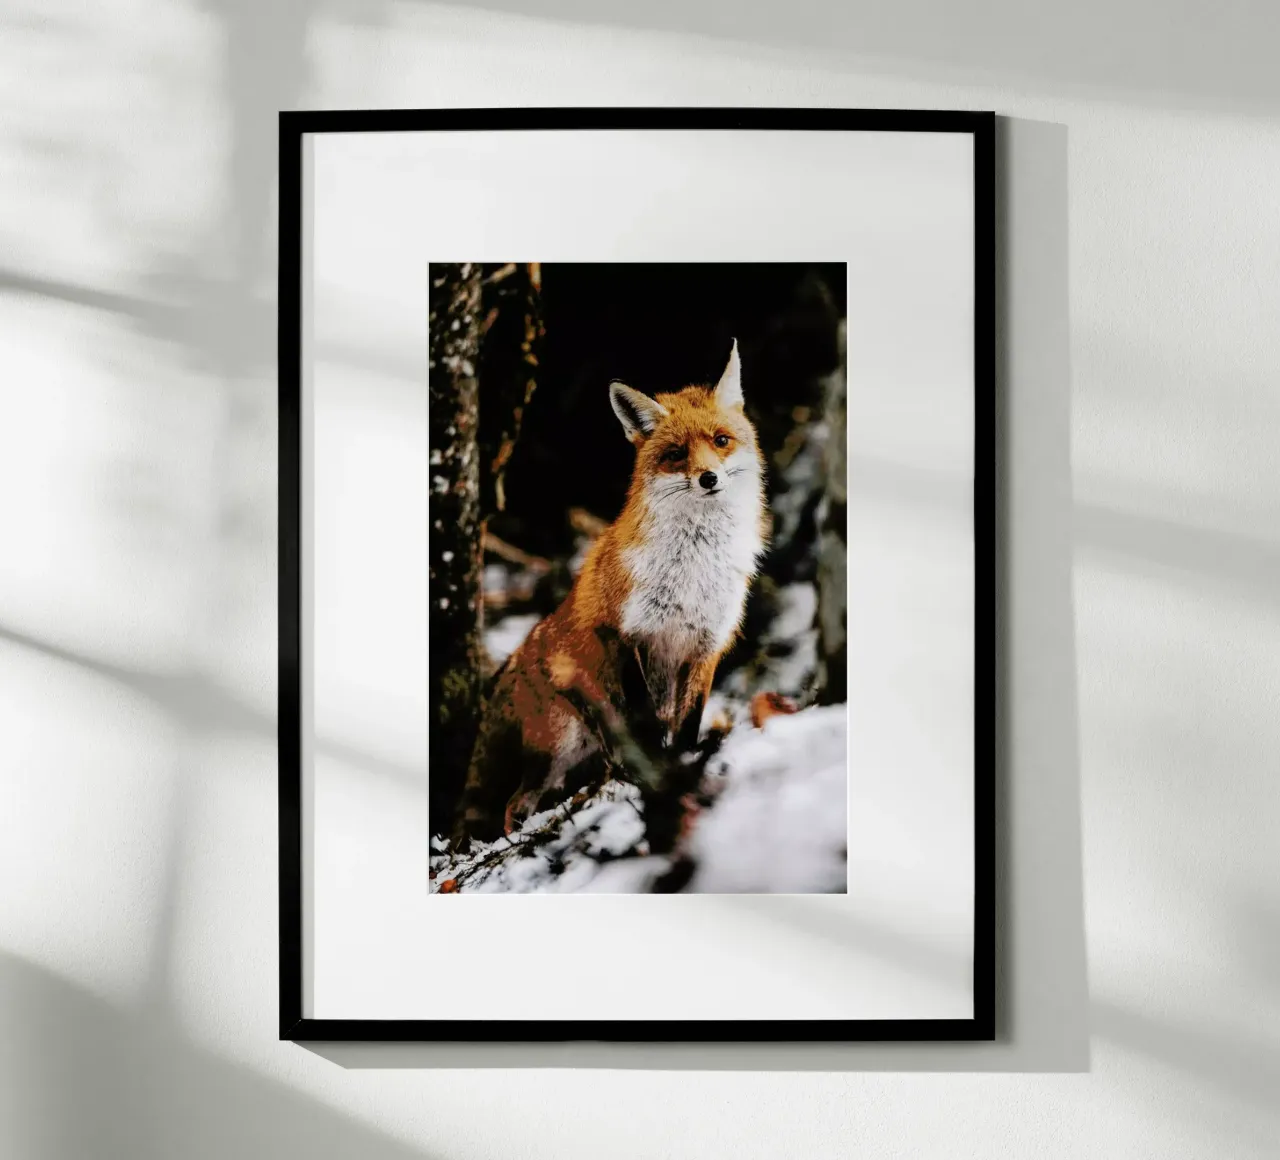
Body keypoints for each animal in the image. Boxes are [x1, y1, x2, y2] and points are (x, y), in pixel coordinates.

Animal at [452, 340, 768, 846]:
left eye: (720, 440)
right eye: (676, 453)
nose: (708, 478)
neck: (693, 570)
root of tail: (514, 660)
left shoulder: (706, 646)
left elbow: (687, 726)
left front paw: (682, 769)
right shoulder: (625, 633)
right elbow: (645, 722)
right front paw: (661, 779)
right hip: (559, 745)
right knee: (512, 803)